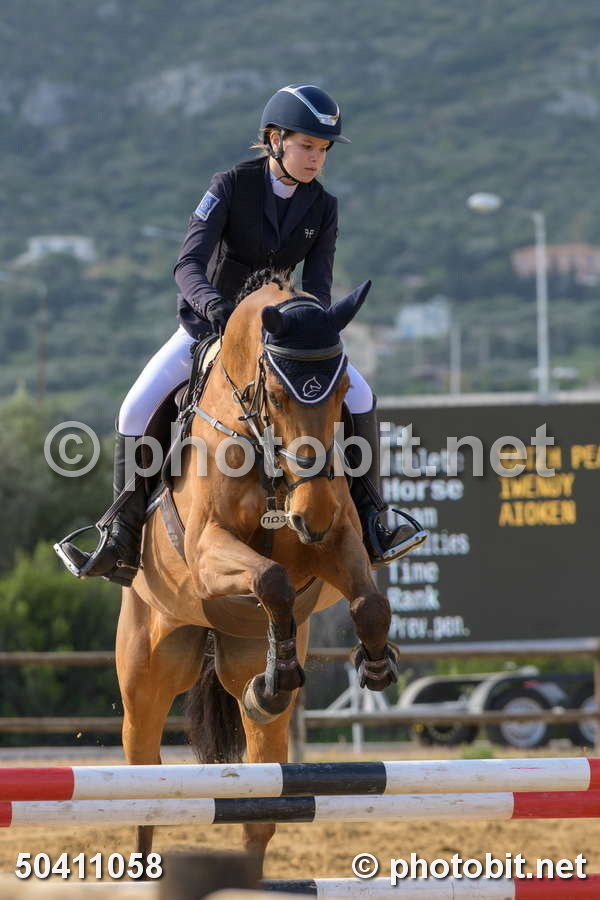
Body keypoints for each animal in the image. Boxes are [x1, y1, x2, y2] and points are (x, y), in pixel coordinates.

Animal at [116, 270, 401, 872]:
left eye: (342, 393)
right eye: (274, 395)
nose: (310, 515)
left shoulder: (335, 543)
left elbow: (367, 601)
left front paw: (375, 665)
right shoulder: (207, 551)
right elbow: (270, 578)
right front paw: (285, 669)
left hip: (244, 674)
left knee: (259, 810)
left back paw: (268, 687)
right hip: (146, 678)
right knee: (143, 796)